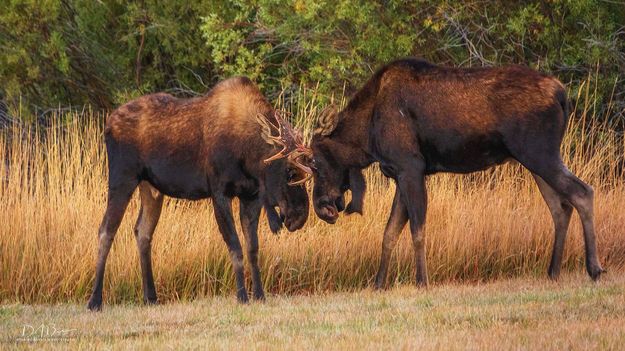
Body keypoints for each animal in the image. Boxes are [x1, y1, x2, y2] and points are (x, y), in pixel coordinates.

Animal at [86, 77, 310, 310]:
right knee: (106, 231)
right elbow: (236, 248)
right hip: (122, 178)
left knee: (143, 231)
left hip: (151, 188)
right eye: (290, 171)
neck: (248, 155)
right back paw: (95, 301)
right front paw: (241, 296)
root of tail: (108, 124)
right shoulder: (219, 193)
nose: (300, 216)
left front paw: (259, 295)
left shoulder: (251, 196)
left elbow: (253, 250)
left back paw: (151, 297)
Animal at [304, 57, 604, 288]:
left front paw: (422, 281)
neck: (367, 137)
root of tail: (562, 95)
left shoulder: (411, 167)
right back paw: (553, 272)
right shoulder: (400, 173)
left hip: (539, 153)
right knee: (560, 207)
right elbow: (389, 233)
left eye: (315, 163)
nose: (321, 207)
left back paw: (594, 268)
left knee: (582, 192)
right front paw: (379, 284)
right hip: (537, 161)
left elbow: (417, 230)